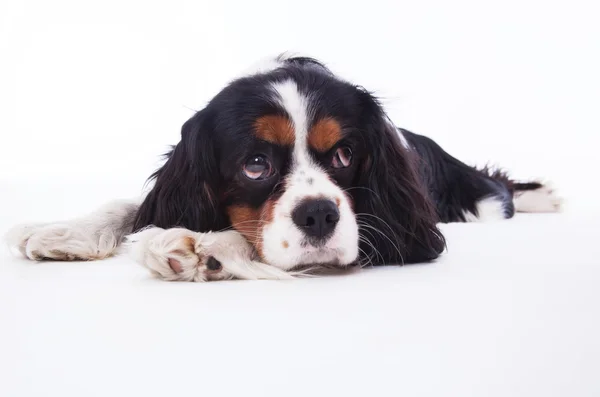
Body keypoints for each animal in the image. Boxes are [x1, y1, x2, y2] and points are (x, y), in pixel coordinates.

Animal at [5, 54, 564, 282]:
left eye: (344, 155)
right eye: (255, 165)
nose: (318, 215)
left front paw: (199, 249)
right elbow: (132, 206)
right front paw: (64, 232)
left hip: (478, 199)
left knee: (497, 188)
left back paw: (543, 195)